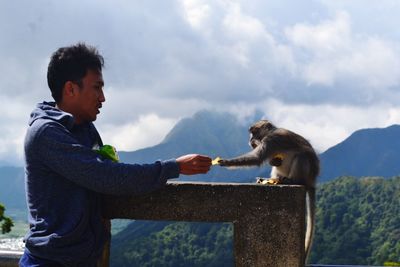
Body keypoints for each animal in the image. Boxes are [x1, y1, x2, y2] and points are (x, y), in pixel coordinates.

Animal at [217, 120, 320, 264]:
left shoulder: (271, 140)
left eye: (253, 132)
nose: (250, 140)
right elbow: (272, 160)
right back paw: (272, 179)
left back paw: (293, 180)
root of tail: (311, 181)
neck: (270, 132)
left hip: (306, 172)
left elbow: (257, 158)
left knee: (302, 156)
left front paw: (226, 162)